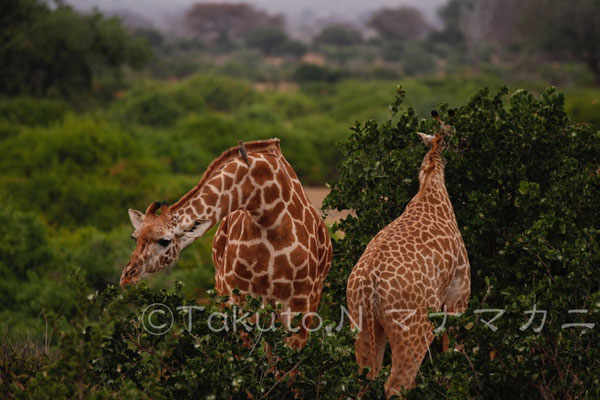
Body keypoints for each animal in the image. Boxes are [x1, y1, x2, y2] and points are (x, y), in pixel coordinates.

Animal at [346, 130, 468, 396]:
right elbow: (455, 349)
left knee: (363, 379)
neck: (432, 183)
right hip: (413, 329)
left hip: (361, 322)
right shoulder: (459, 294)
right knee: (395, 384)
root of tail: (369, 281)